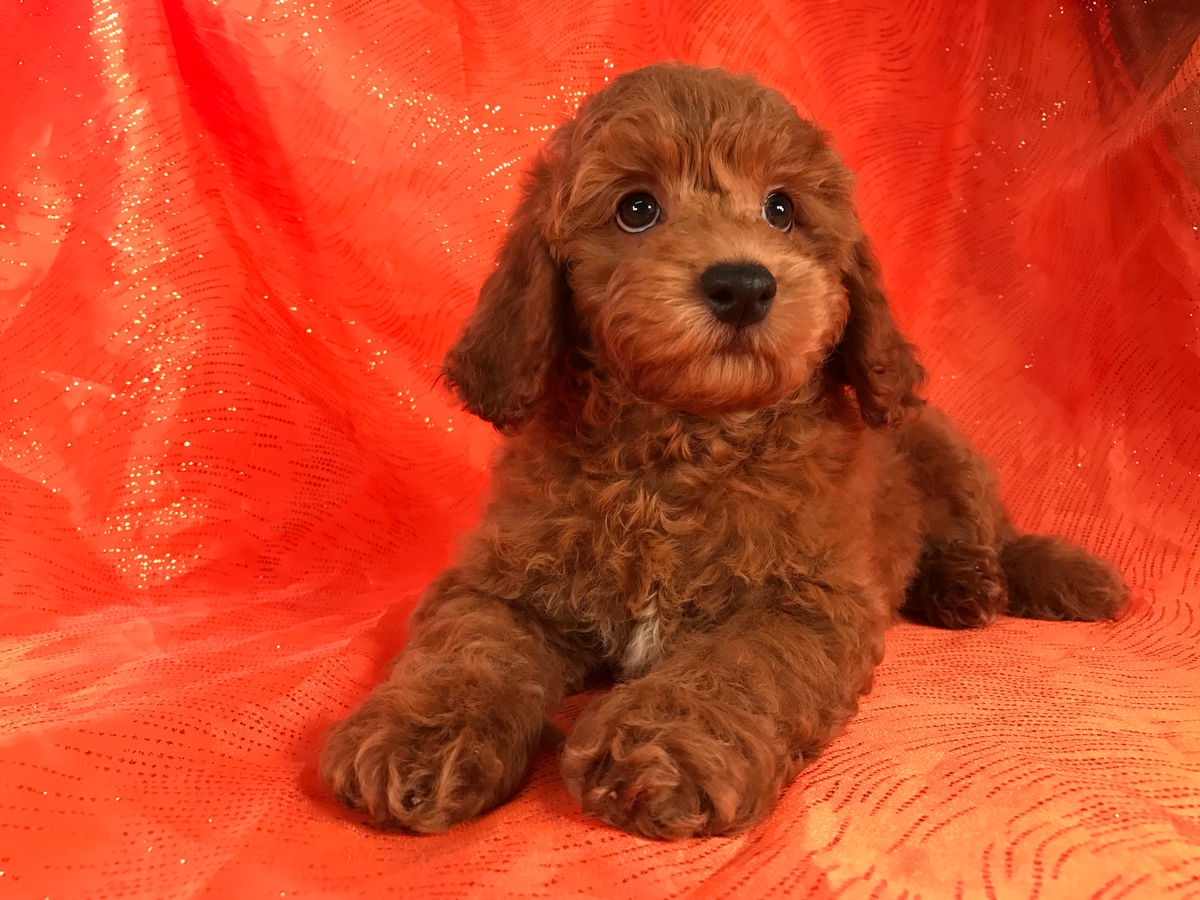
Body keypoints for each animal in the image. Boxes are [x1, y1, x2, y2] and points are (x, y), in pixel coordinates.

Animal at [316, 65, 1123, 844]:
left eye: (782, 209)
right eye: (636, 209)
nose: (742, 285)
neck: (682, 443)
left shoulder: (803, 601)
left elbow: (735, 665)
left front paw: (662, 745)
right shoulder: (502, 581)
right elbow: (468, 648)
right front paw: (420, 735)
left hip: (942, 448)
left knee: (988, 534)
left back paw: (983, 582)